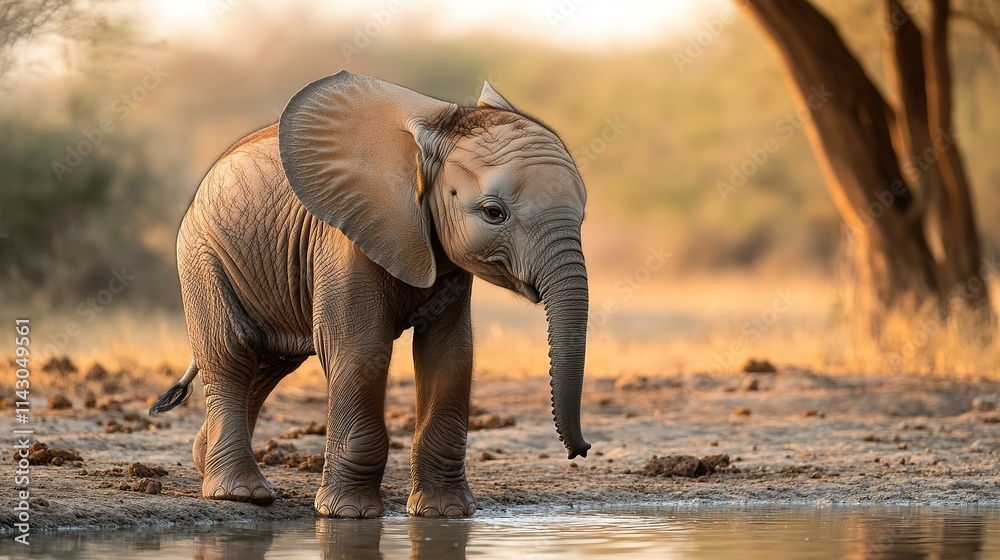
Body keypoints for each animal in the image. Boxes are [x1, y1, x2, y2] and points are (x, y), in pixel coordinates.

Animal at [149, 71, 590, 518]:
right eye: (493, 213)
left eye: (583, 216)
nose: (582, 451)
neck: (427, 145)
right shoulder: (344, 237)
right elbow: (361, 349)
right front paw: (350, 514)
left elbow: (451, 354)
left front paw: (445, 514)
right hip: (203, 253)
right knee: (232, 353)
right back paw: (239, 493)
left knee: (270, 362)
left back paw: (206, 461)